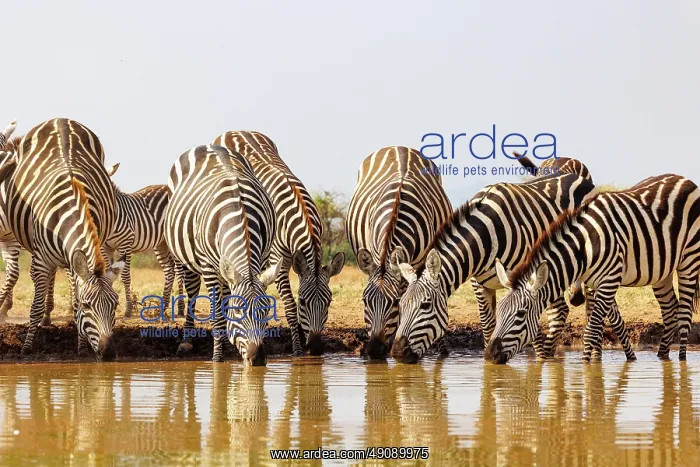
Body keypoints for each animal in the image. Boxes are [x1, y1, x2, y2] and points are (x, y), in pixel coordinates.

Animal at [0, 118, 124, 359]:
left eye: (115, 306)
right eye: (88, 306)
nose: (108, 353)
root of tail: (60, 120)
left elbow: (73, 300)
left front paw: (81, 347)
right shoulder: (40, 261)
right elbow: (36, 306)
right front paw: (27, 347)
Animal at [164, 144, 279, 364]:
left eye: (266, 310)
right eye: (238, 311)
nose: (257, 359)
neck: (239, 211)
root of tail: (209, 145)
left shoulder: (261, 260)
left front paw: (228, 344)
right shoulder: (208, 266)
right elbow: (217, 313)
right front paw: (217, 357)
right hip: (186, 257)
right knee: (192, 292)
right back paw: (187, 342)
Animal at [213, 131, 345, 356]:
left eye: (329, 302)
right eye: (303, 301)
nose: (316, 349)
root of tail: (236, 131)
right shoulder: (279, 260)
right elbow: (290, 306)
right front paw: (297, 350)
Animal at [388, 172, 631, 363]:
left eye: (425, 305)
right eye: (400, 305)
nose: (398, 353)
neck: (484, 237)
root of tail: (581, 178)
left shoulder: (520, 279)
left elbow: (529, 328)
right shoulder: (480, 284)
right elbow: (488, 327)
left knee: (590, 310)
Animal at [486, 174, 700, 363]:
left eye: (520, 314)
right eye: (500, 311)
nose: (489, 355)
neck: (583, 249)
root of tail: (684, 179)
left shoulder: (609, 279)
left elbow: (591, 331)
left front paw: (586, 367)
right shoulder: (597, 284)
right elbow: (610, 324)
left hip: (689, 259)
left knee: (684, 315)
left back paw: (681, 360)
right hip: (662, 271)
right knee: (670, 310)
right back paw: (662, 356)